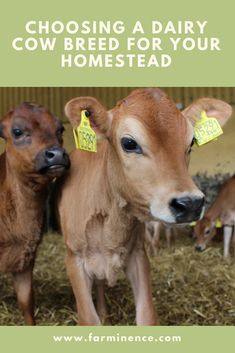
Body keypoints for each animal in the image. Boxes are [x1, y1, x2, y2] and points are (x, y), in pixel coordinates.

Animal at [57, 88, 231, 324]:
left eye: (191, 142)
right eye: (129, 143)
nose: (191, 203)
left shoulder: (138, 255)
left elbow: (147, 315)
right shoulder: (74, 259)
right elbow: (88, 318)